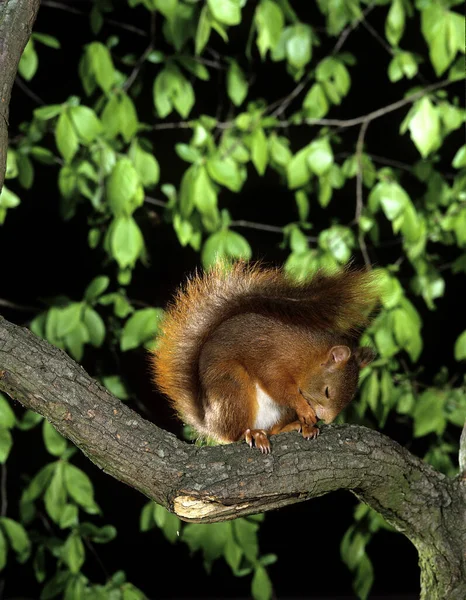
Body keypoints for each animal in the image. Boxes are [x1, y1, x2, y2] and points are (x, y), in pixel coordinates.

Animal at [153, 260, 378, 452]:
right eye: (327, 391)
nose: (326, 419)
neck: (307, 357)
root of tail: (210, 423)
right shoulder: (270, 359)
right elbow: (278, 386)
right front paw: (304, 410)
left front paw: (306, 420)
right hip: (232, 388)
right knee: (233, 434)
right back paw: (253, 433)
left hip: (277, 410)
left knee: (272, 429)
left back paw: (292, 427)